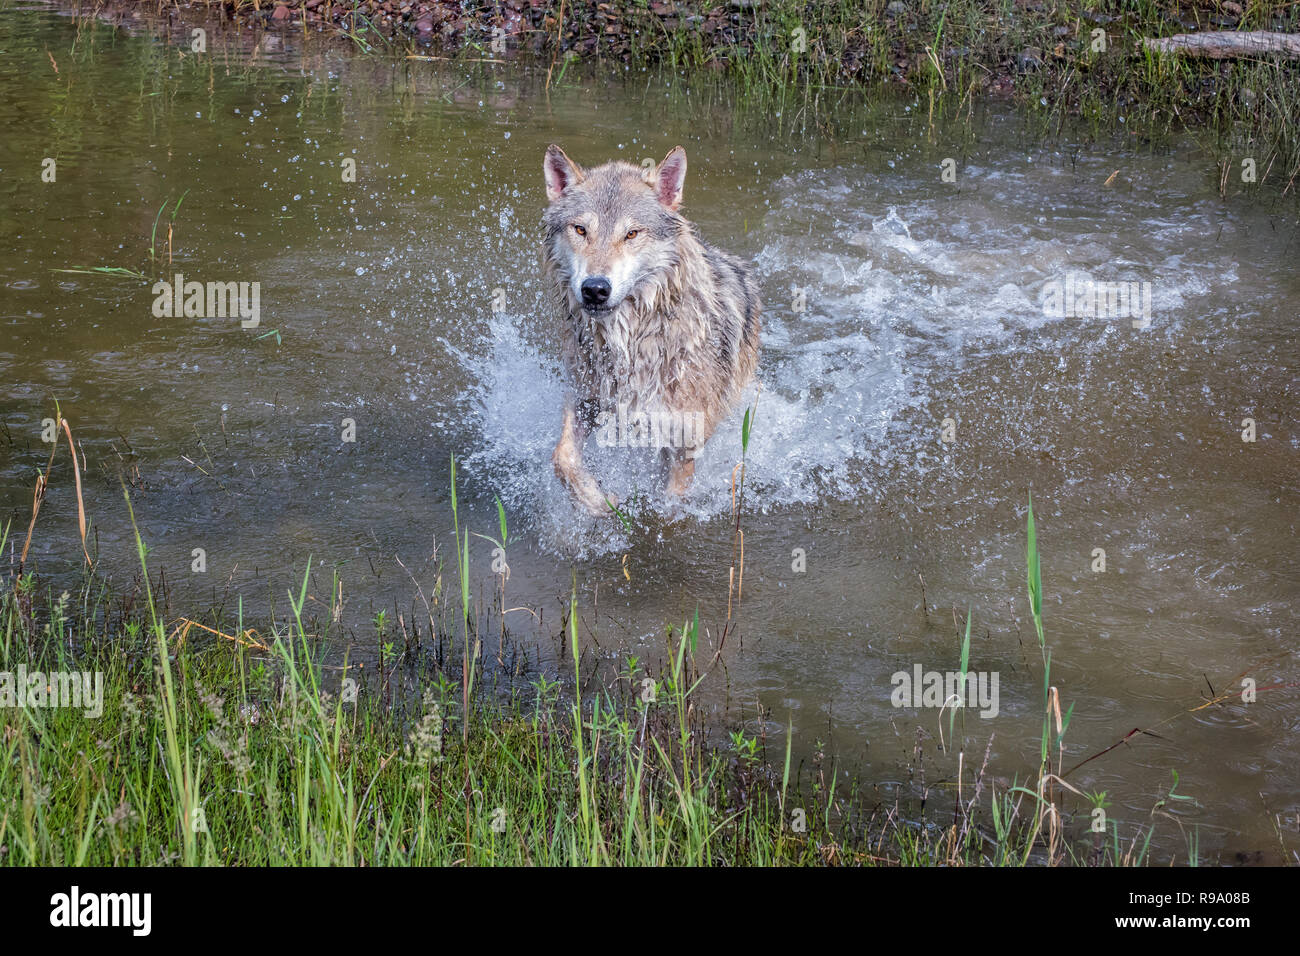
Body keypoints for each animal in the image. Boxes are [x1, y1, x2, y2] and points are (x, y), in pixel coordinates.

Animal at [540, 145, 759, 515]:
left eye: (631, 234)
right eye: (580, 230)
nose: (595, 289)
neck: (630, 342)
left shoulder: (684, 443)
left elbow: (671, 504)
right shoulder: (585, 399)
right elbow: (563, 458)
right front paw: (600, 502)